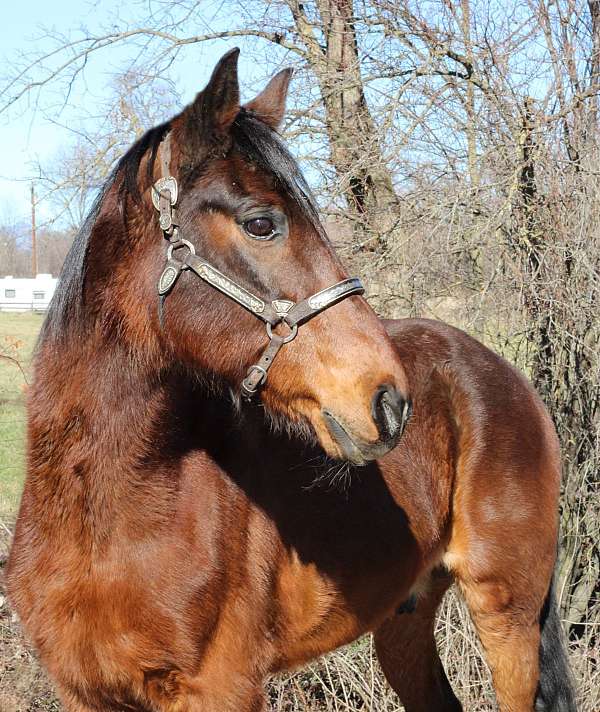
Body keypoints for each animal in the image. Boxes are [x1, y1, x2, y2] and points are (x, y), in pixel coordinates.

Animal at [7, 51, 576, 712]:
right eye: (261, 223)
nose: (390, 403)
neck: (108, 519)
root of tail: (510, 379)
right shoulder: (84, 693)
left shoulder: (222, 688)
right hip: (406, 618)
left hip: (507, 615)